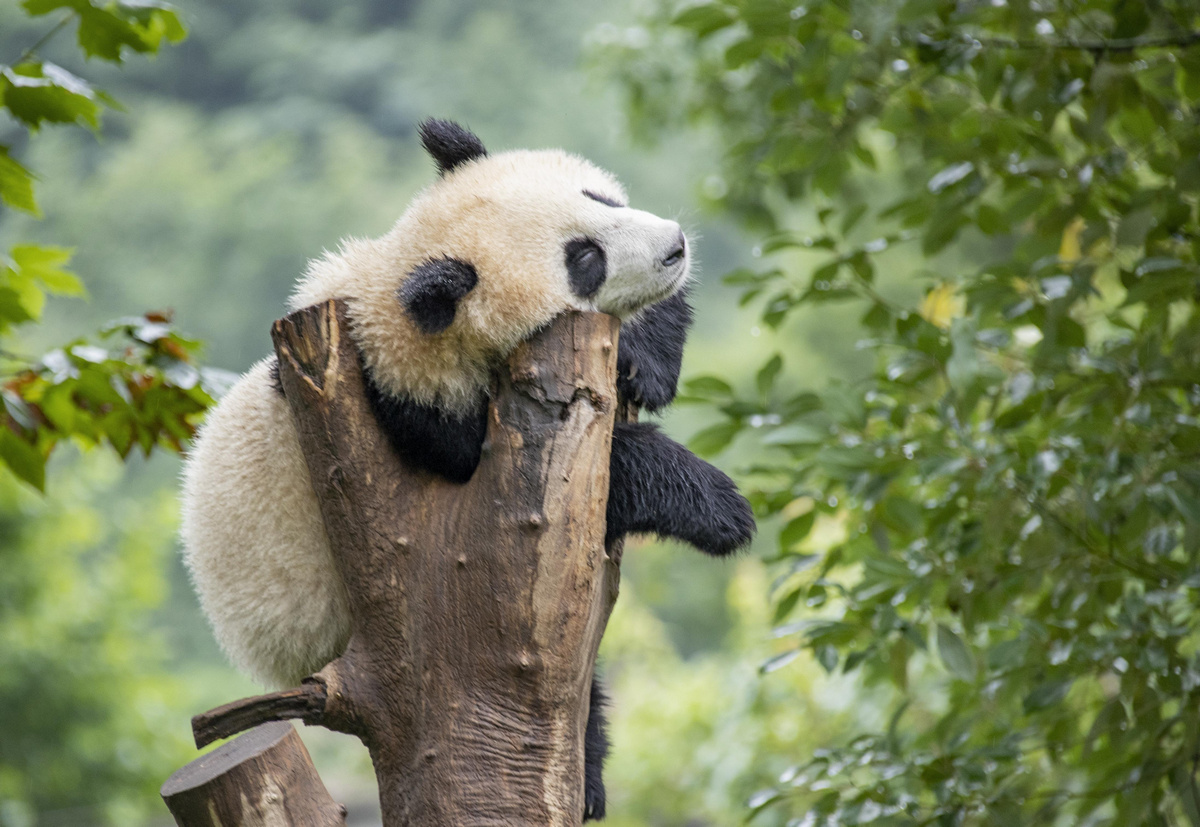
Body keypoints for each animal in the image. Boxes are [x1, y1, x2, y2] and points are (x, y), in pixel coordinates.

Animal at [182, 117, 753, 820]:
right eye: (584, 259)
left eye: (599, 197)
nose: (674, 245)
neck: (396, 285)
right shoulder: (413, 407)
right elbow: (576, 474)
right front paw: (722, 508)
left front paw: (643, 361)